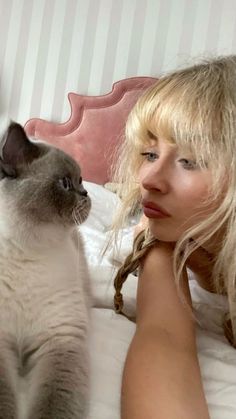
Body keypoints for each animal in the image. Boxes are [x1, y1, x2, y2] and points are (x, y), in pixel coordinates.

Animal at [0, 122, 91, 419]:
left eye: (81, 180)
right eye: (65, 183)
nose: (86, 194)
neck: (29, 251)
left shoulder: (60, 338)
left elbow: (53, 406)